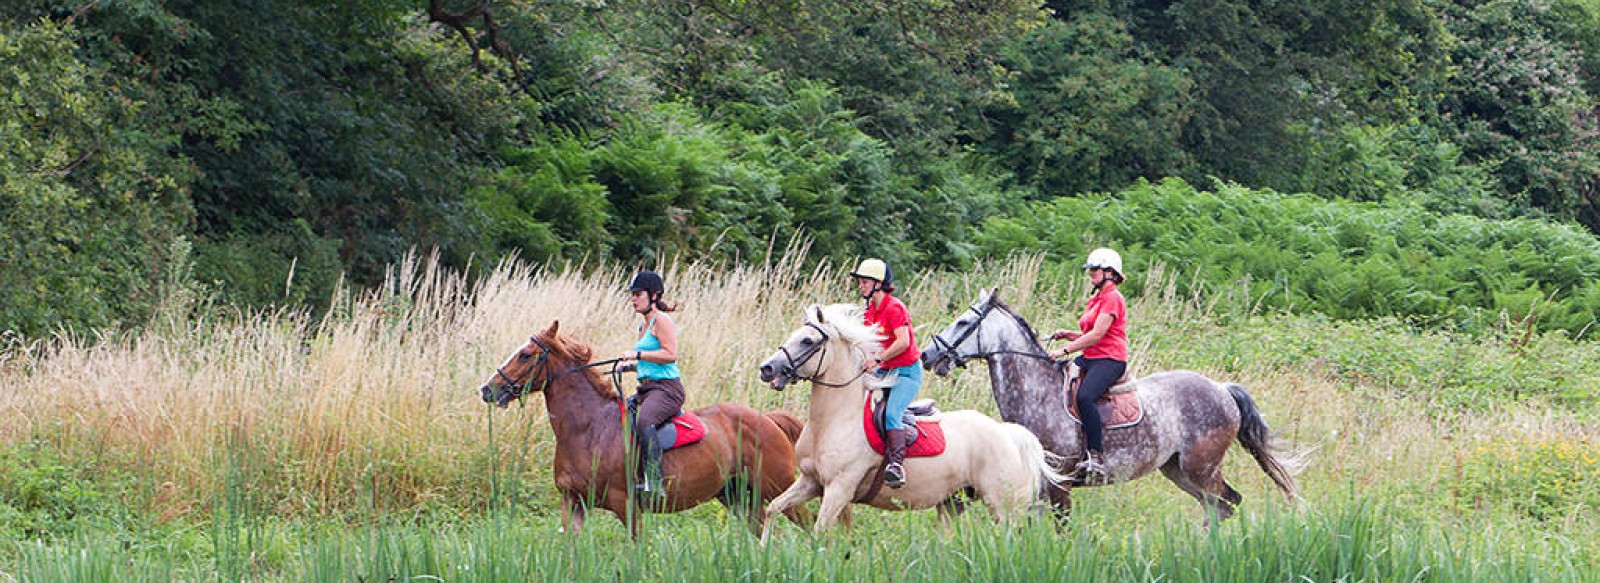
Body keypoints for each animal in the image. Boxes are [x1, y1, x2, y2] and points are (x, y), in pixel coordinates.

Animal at [470, 323, 800, 538]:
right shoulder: (573, 501)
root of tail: (769, 420)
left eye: (525, 355)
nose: (487, 389)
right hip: (738, 497)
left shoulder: (625, 505)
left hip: (779, 487)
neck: (588, 429)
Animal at [755, 305, 1068, 541]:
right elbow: (773, 509)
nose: (767, 368)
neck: (834, 420)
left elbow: (819, 533)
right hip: (952, 503)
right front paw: (763, 551)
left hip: (1004, 507)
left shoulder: (838, 488)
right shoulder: (811, 482)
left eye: (807, 341)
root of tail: (1008, 433)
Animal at [921, 289, 1305, 525]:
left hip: (1202, 467)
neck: (1037, 392)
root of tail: (1223, 390)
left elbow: (1061, 529)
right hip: (1178, 470)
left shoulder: (1061, 484)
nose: (927, 355)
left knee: (1223, 503)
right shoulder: (1037, 484)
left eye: (963, 322)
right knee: (1221, 506)